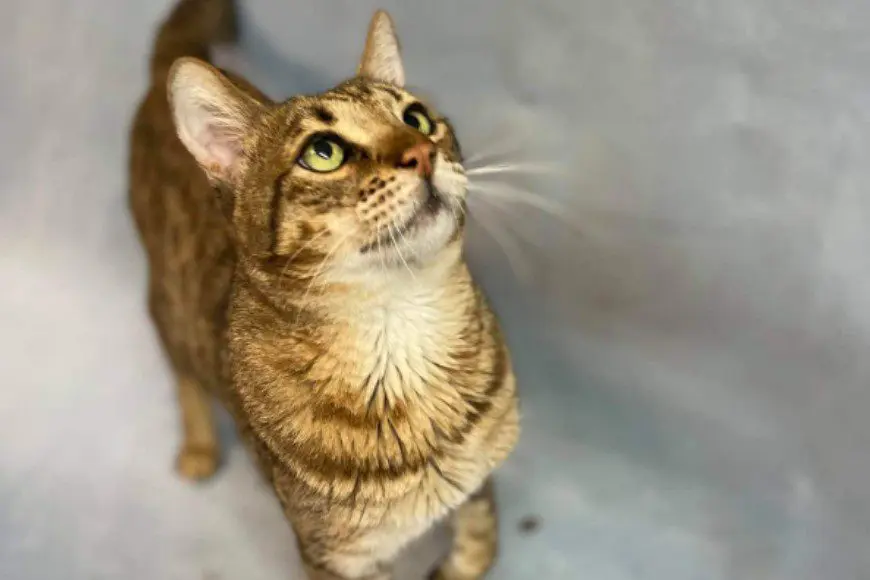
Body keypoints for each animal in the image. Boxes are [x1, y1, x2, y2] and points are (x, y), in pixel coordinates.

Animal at [127, 2, 520, 576]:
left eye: (416, 118)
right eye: (324, 152)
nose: (422, 152)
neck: (398, 325)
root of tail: (161, 78)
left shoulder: (474, 482)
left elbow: (478, 540)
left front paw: (460, 563)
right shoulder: (336, 554)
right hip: (168, 301)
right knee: (182, 371)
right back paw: (199, 447)